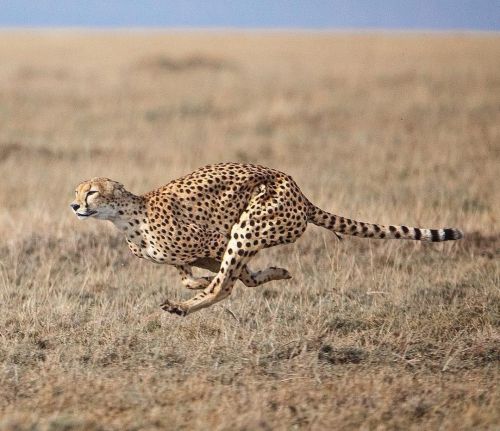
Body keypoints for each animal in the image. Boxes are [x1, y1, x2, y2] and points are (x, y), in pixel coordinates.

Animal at [69, 164, 460, 316]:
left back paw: (182, 307)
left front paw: (206, 282)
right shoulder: (189, 254)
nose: (74, 205)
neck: (125, 218)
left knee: (225, 287)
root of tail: (301, 195)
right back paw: (274, 273)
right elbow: (192, 274)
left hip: (249, 224)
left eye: (91, 192)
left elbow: (227, 276)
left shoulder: (216, 241)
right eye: (77, 191)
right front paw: (203, 278)